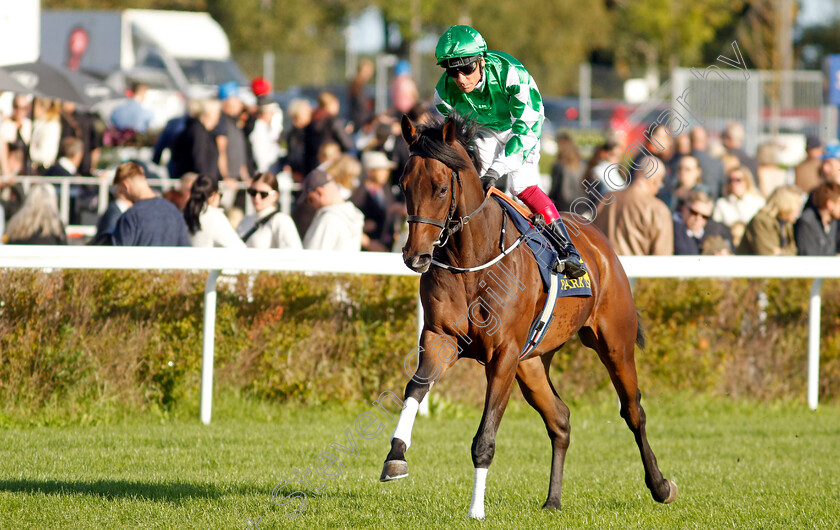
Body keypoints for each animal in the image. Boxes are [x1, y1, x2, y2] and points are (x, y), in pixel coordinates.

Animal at [380, 114, 676, 516]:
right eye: (403, 184)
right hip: (532, 363)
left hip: (615, 342)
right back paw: (553, 499)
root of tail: (600, 243)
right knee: (560, 419)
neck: (472, 259)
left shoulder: (503, 354)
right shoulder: (442, 338)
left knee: (633, 411)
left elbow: (484, 438)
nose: (416, 256)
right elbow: (415, 387)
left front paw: (476, 510)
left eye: (441, 189)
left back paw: (660, 486)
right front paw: (396, 455)